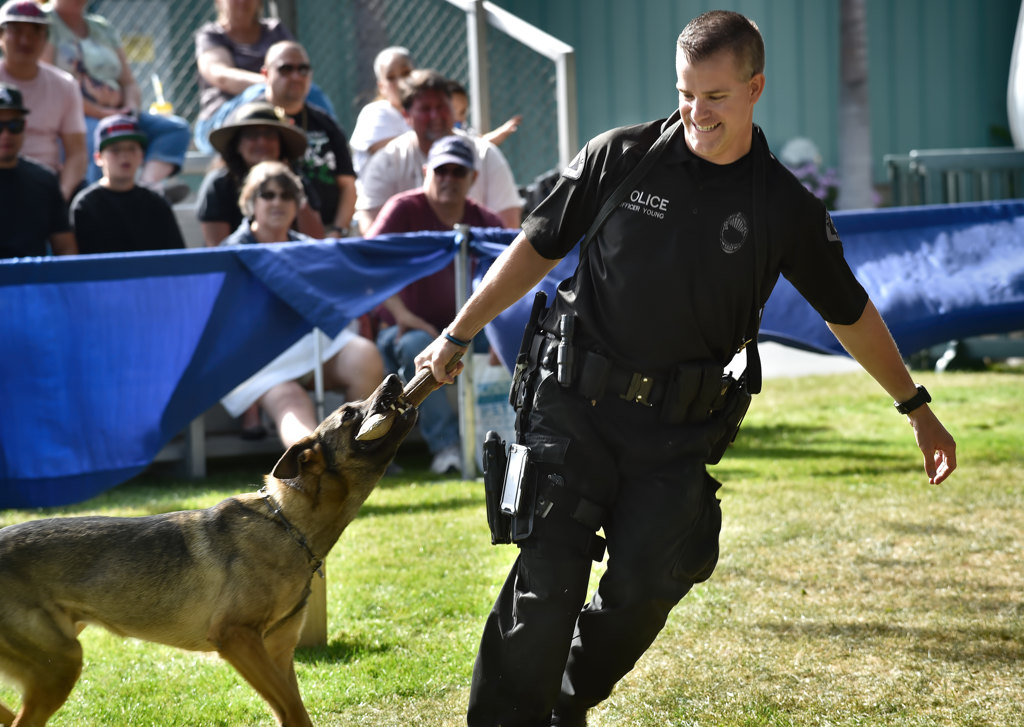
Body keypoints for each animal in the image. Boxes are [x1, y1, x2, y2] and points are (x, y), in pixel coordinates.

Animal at [0, 372, 419, 724]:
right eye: (349, 414)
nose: (394, 378)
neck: (287, 523)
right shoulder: (236, 638)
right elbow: (290, 708)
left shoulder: (278, 652)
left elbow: (295, 712)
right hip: (60, 663)